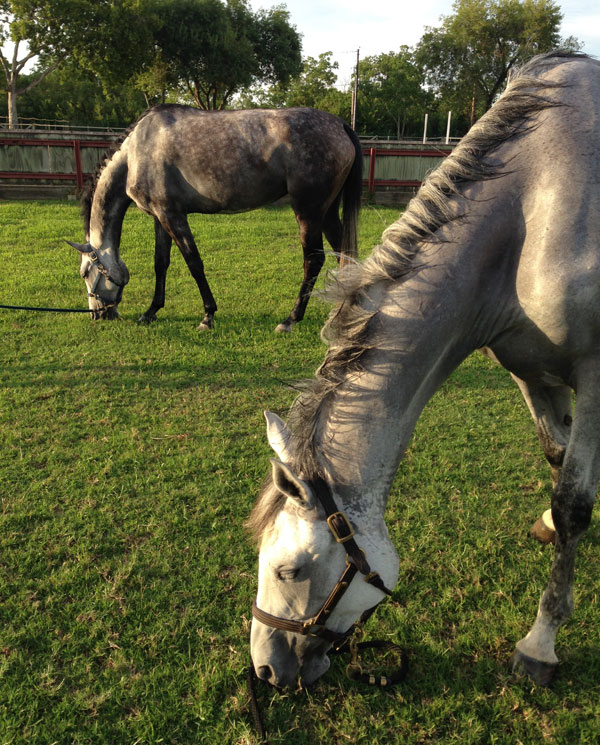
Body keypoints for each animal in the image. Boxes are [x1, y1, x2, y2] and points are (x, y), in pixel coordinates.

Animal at [68, 107, 364, 332]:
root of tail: (339, 125)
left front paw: (207, 316)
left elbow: (194, 264)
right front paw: (151, 311)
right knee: (344, 253)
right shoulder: (160, 217)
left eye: (84, 272)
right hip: (327, 212)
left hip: (308, 211)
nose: (98, 314)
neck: (136, 153)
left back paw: (290, 319)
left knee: (314, 260)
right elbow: (160, 263)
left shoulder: (173, 216)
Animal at [247, 52, 600, 688]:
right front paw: (548, 523)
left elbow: (574, 504)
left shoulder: (595, 377)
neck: (539, 204)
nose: (265, 668)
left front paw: (541, 642)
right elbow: (558, 463)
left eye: (289, 570)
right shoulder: (529, 370)